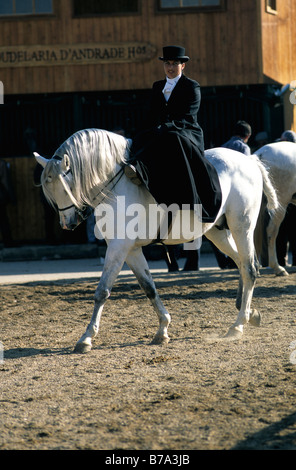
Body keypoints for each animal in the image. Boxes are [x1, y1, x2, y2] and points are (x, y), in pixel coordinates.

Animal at [33, 129, 278, 352]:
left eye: (66, 188)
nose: (68, 223)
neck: (115, 187)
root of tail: (249, 161)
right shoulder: (130, 250)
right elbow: (148, 287)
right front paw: (162, 330)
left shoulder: (118, 247)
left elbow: (102, 291)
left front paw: (86, 338)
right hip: (217, 232)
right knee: (242, 263)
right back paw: (248, 312)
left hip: (241, 226)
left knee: (249, 268)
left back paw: (238, 325)